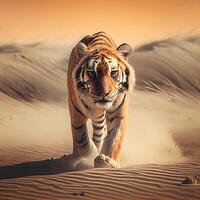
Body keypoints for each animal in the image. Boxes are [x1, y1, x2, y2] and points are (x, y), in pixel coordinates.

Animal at [67, 31, 134, 167]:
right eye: (92, 73)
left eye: (113, 72)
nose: (104, 93)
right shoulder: (76, 114)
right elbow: (82, 140)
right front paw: (91, 155)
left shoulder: (119, 115)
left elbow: (114, 138)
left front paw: (106, 161)